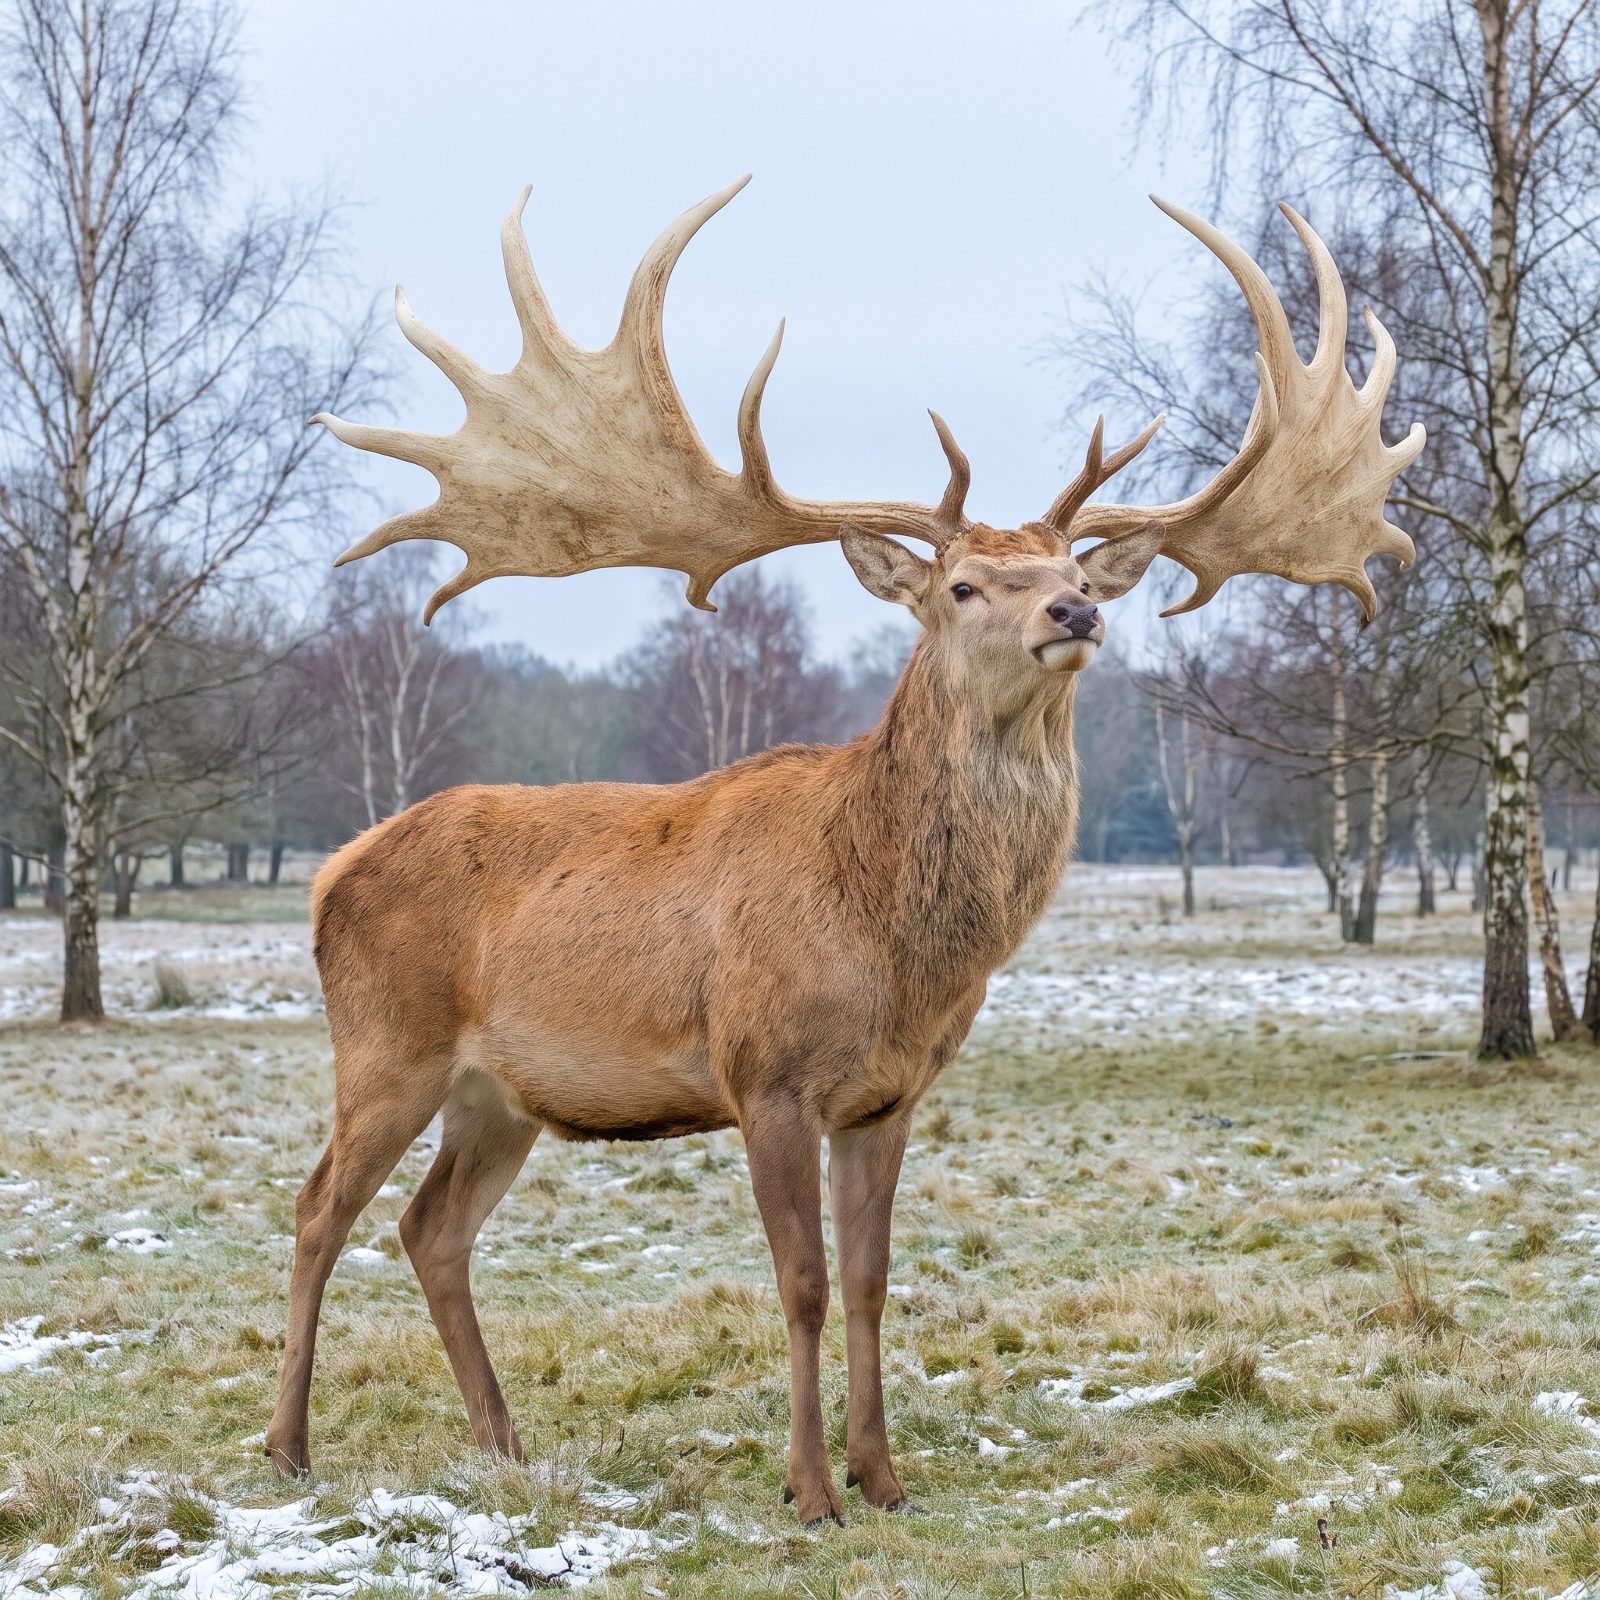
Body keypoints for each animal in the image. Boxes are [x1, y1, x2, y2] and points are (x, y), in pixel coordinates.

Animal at [265, 176, 1423, 1523]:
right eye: (963, 585)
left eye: (1076, 570)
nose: (1075, 612)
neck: (893, 939)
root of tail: (329, 872)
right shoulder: (765, 1071)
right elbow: (804, 1283)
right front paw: (809, 1488)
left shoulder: (889, 1092)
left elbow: (872, 1280)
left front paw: (883, 1474)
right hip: (385, 1044)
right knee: (317, 1209)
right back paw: (288, 1444)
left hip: (501, 1093)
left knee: (430, 1228)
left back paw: (503, 1445)